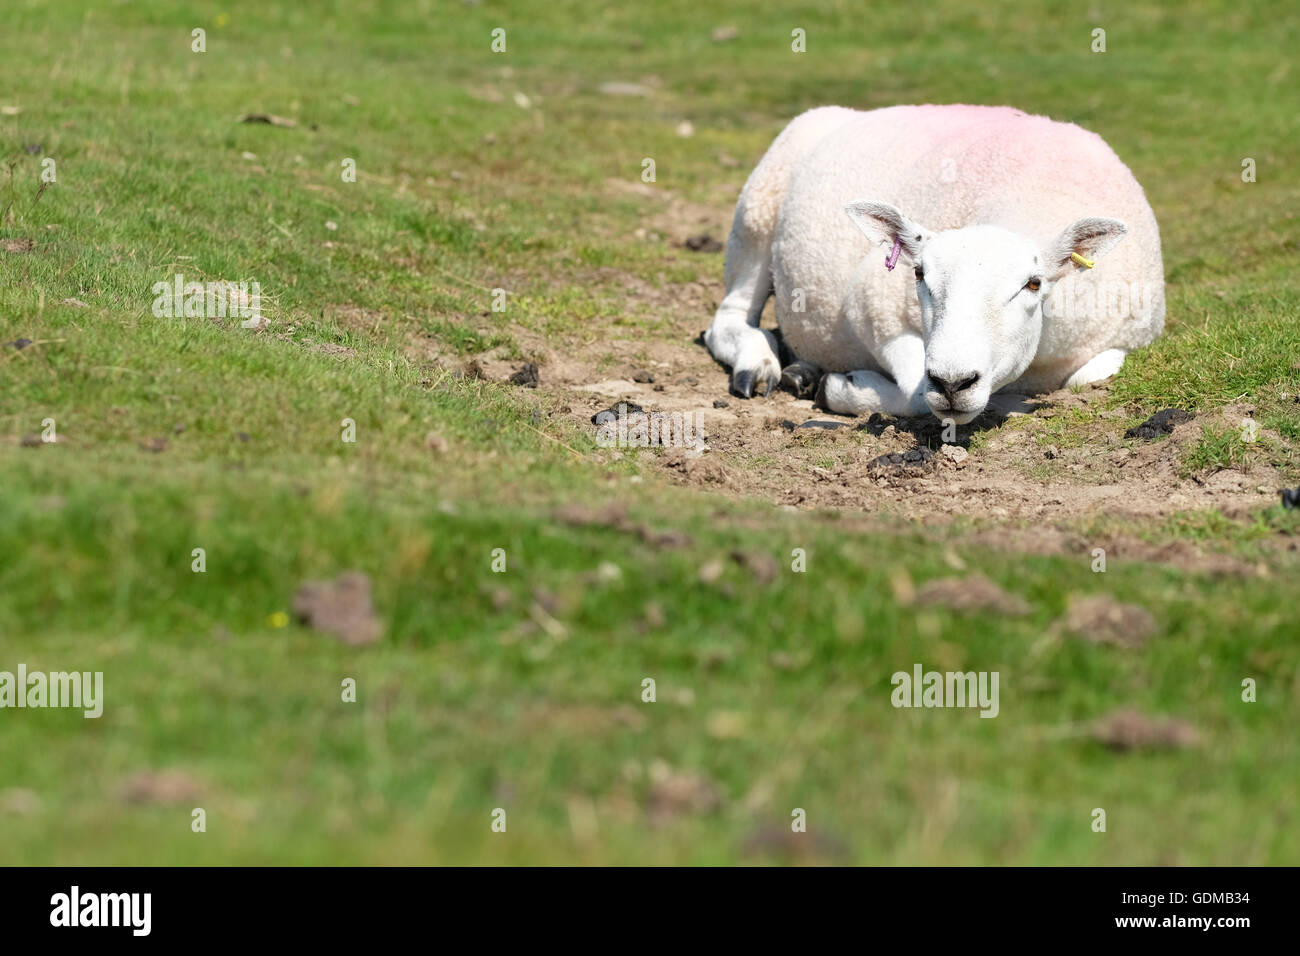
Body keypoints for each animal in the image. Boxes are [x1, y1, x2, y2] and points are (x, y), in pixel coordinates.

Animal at [707, 102, 1175, 421]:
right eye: (918, 273)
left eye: (1033, 283)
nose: (953, 382)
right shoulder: (872, 304)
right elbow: (917, 395)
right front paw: (841, 389)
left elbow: (1091, 376)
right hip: (759, 207)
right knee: (728, 321)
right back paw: (761, 366)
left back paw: (800, 370)